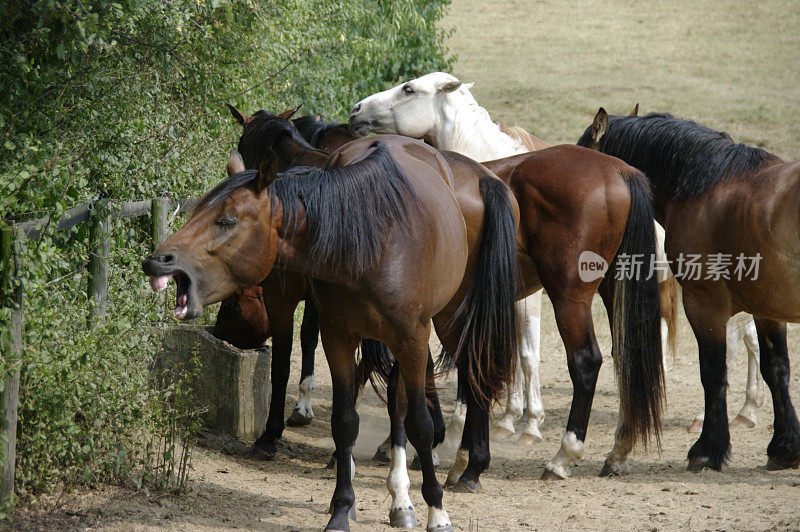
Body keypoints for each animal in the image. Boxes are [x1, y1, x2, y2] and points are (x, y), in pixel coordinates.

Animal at [143, 134, 520, 532]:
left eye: (226, 220)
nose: (158, 260)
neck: (370, 242)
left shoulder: (411, 339)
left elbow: (418, 423)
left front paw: (437, 510)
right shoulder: (338, 337)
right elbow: (345, 421)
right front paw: (342, 507)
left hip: (449, 320)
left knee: (446, 385)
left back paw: (430, 484)